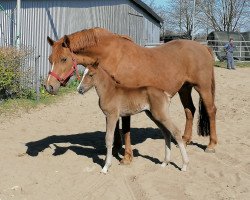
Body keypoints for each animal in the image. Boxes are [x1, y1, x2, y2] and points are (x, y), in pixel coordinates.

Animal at [46, 28, 218, 159]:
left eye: (64, 59)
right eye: (50, 59)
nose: (49, 87)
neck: (113, 56)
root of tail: (204, 48)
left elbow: (126, 128)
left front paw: (127, 157)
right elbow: (116, 127)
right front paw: (116, 149)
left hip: (202, 88)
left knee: (211, 110)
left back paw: (211, 145)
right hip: (185, 88)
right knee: (190, 111)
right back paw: (185, 139)